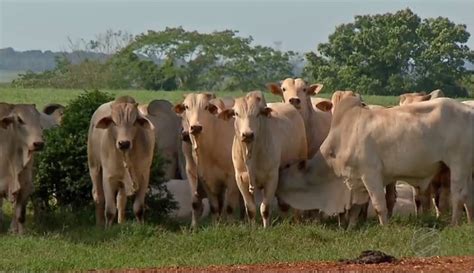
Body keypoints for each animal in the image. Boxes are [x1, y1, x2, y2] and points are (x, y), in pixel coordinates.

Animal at [0, 103, 44, 233]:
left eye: (39, 119)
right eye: (19, 120)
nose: (38, 143)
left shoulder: (26, 186)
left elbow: (20, 213)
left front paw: (18, 232)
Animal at [88, 95, 155, 225]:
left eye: (134, 122)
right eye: (114, 122)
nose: (124, 143)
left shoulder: (144, 176)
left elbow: (138, 208)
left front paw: (141, 226)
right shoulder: (108, 177)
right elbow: (109, 210)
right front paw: (107, 227)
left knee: (121, 199)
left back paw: (121, 222)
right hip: (94, 167)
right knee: (98, 196)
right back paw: (99, 224)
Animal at [173, 92, 241, 224]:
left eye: (205, 107)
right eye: (186, 107)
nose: (195, 127)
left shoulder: (232, 177)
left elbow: (229, 206)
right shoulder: (200, 176)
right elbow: (208, 205)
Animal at [218, 90, 308, 226]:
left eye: (257, 114)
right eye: (236, 114)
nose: (248, 134)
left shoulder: (272, 178)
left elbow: (265, 208)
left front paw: (266, 227)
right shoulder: (240, 179)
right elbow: (250, 209)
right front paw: (253, 227)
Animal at [320, 96, 472, 224]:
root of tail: (470, 110)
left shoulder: (370, 173)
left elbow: (379, 205)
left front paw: (385, 228)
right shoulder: (356, 180)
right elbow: (356, 208)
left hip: (458, 165)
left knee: (458, 196)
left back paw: (454, 224)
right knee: (469, 196)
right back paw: (470, 223)